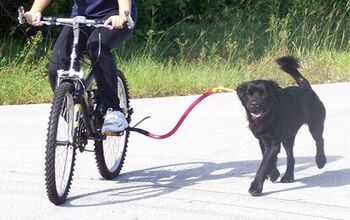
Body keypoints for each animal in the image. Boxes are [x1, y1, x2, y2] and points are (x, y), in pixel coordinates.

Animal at [237, 56, 326, 196]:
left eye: (264, 94)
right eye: (249, 94)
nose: (254, 104)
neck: (270, 116)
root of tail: (306, 87)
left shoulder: (273, 142)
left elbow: (264, 165)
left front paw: (255, 187)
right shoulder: (263, 139)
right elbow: (268, 158)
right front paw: (274, 174)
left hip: (315, 124)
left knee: (319, 141)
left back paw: (321, 161)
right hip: (288, 137)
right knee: (291, 157)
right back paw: (288, 176)